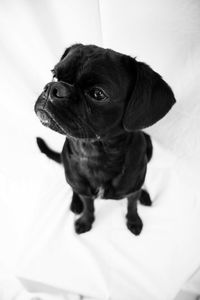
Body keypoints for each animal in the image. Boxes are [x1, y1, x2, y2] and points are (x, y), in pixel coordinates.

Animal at [34, 44, 175, 236]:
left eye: (98, 94)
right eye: (55, 76)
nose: (53, 87)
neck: (96, 155)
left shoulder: (132, 190)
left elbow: (132, 205)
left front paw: (134, 220)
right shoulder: (85, 192)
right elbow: (89, 206)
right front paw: (85, 220)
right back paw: (75, 202)